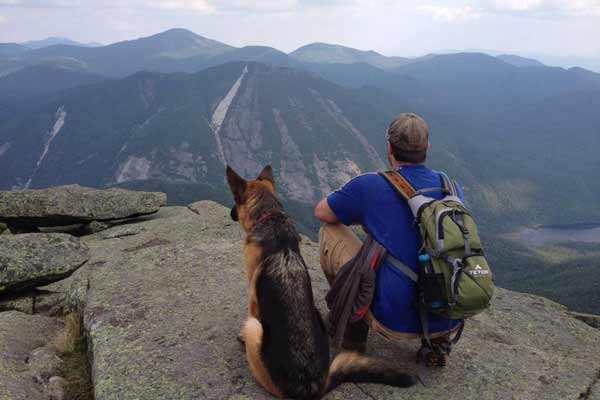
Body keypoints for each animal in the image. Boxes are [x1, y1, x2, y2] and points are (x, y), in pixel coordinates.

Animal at [227, 164, 414, 398]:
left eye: (235, 199)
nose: (230, 213)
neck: (269, 217)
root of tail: (311, 387)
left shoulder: (253, 294)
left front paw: (239, 337)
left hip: (256, 331)